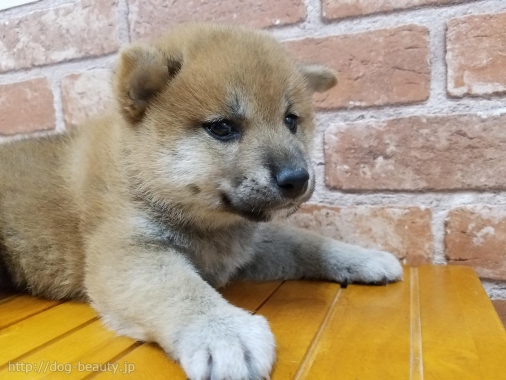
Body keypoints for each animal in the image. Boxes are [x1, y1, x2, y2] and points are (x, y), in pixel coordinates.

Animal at [0, 23, 404, 380]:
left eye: (291, 120)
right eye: (222, 127)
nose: (298, 178)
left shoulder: (246, 251)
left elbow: (307, 243)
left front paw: (363, 257)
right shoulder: (130, 250)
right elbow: (180, 287)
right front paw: (223, 333)